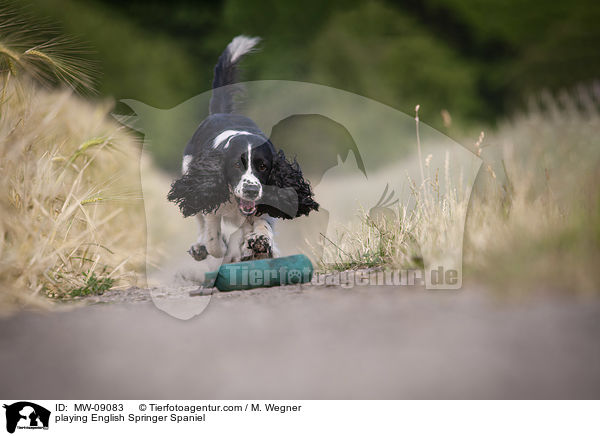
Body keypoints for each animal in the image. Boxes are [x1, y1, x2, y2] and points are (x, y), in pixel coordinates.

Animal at [168, 35, 318, 262]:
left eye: (263, 166)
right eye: (236, 166)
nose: (251, 190)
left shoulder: (263, 204)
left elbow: (262, 224)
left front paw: (259, 242)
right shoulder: (209, 203)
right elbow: (214, 241)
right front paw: (222, 246)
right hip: (190, 176)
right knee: (201, 223)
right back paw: (200, 247)